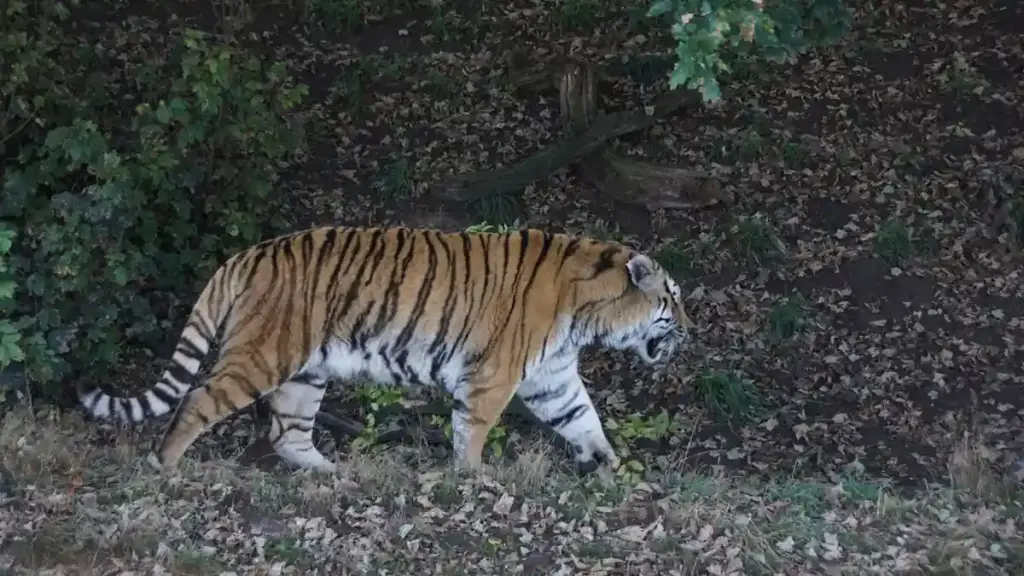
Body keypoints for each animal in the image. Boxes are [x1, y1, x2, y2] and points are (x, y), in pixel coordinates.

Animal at [77, 225, 695, 478]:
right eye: (671, 298)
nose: (690, 330)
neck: (588, 313)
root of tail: (247, 254)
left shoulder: (553, 377)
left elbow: (584, 420)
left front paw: (614, 466)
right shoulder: (493, 376)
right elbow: (473, 431)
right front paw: (472, 479)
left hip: (305, 371)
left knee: (287, 432)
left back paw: (332, 472)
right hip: (262, 356)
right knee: (199, 399)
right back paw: (165, 467)